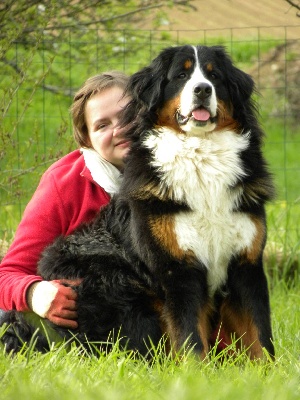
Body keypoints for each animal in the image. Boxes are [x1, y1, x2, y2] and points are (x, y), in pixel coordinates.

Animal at [0, 44, 276, 360]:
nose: (203, 89)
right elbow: (191, 338)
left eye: (214, 75)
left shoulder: (246, 264)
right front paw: (196, 370)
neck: (202, 158)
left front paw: (268, 369)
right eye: (181, 75)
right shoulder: (177, 268)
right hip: (114, 281)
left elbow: (260, 336)